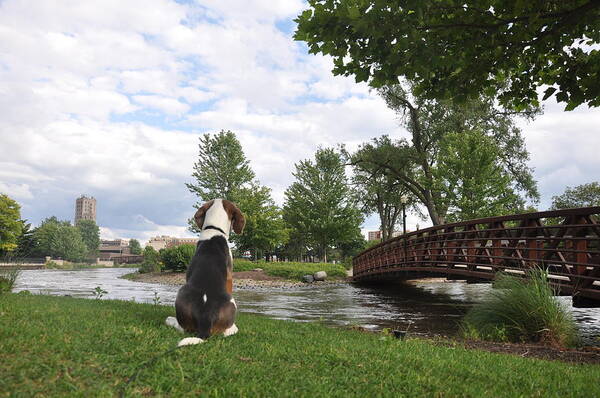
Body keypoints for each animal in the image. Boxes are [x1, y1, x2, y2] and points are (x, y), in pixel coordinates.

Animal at [164, 199, 244, 346]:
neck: (214, 229)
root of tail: (205, 317)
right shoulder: (230, 277)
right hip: (231, 302)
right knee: (224, 332)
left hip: (182, 293)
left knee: (184, 327)